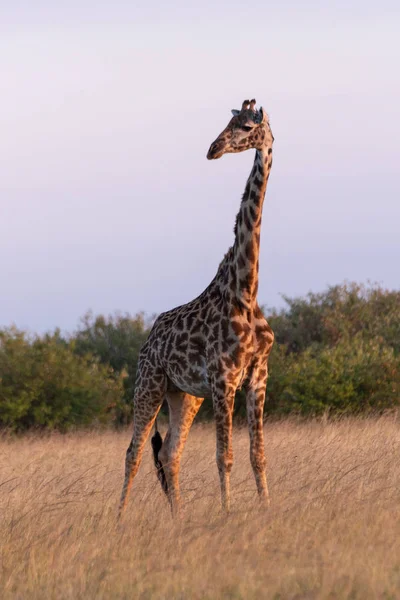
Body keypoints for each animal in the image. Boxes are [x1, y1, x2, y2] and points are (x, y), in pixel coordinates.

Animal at [119, 98, 276, 516]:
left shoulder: (257, 376)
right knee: (133, 452)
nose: (213, 148)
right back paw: (119, 519)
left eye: (245, 127)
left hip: (184, 395)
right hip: (150, 383)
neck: (245, 291)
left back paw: (178, 518)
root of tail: (148, 340)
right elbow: (225, 457)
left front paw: (266, 510)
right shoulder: (224, 379)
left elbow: (258, 456)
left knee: (169, 453)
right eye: (228, 123)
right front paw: (228, 513)